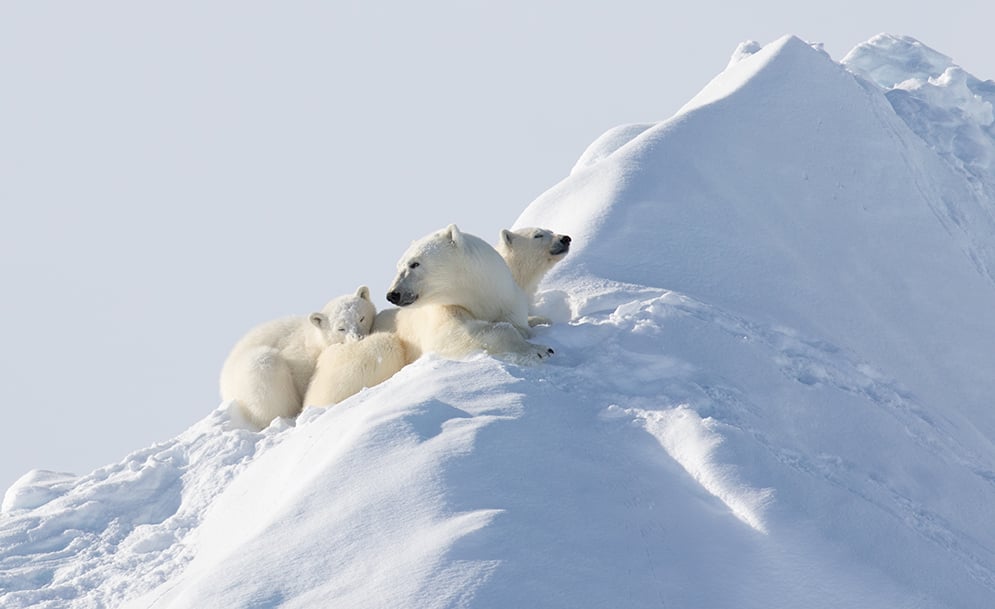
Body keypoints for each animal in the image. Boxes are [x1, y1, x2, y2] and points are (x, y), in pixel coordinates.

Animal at [304, 226, 572, 406]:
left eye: (414, 264)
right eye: (400, 265)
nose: (393, 294)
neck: (481, 293)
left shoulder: (508, 301)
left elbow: (521, 323)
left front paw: (539, 325)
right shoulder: (443, 311)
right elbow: (453, 336)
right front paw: (539, 349)